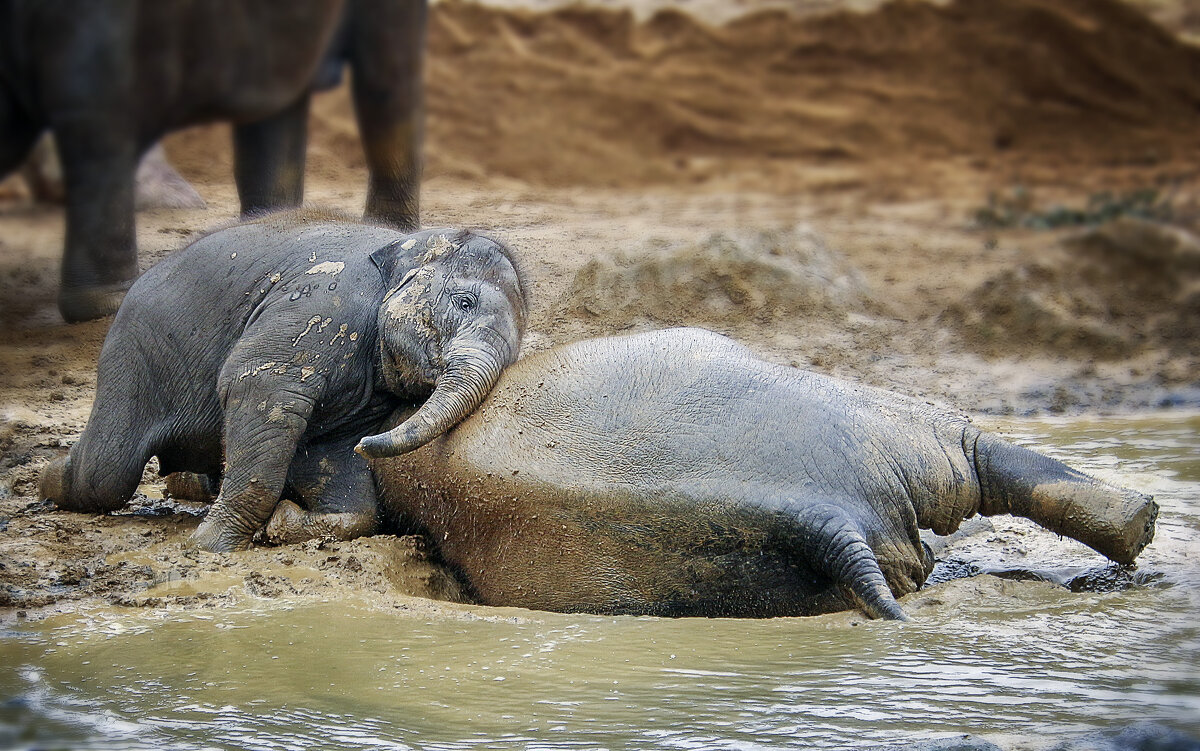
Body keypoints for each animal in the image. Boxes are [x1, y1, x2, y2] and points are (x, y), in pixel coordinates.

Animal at [39, 211, 528, 549]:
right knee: (106, 473)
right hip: (137, 348)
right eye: (464, 302)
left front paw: (280, 525)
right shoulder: (326, 305)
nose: (370, 447)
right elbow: (258, 386)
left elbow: (336, 463)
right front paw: (209, 547)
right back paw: (47, 479)